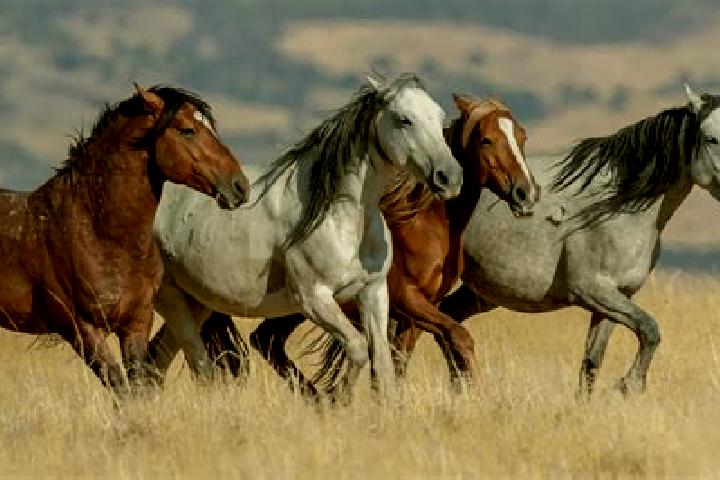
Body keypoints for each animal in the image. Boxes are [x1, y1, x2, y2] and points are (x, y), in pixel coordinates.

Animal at [0, 85, 249, 396]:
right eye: (187, 130)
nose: (240, 186)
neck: (99, 234)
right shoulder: (83, 330)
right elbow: (121, 388)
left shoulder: (136, 323)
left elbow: (138, 386)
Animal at [146, 72, 463, 400]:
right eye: (404, 119)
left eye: (439, 117)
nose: (449, 177)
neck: (342, 219)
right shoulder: (314, 299)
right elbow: (358, 348)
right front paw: (337, 400)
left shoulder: (373, 292)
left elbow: (383, 365)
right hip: (171, 299)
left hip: (198, 302)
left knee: (157, 359)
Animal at [235, 94, 539, 396]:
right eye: (485, 139)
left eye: (522, 137)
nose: (525, 194)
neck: (424, 226)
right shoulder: (407, 298)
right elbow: (458, 336)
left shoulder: (419, 309)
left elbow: (400, 361)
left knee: (266, 339)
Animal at [393, 83, 720, 396]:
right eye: (711, 138)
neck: (615, 206)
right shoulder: (592, 291)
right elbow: (650, 329)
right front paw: (629, 384)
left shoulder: (616, 298)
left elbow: (591, 364)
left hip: (477, 294)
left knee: (445, 325)